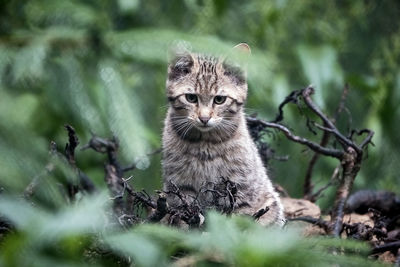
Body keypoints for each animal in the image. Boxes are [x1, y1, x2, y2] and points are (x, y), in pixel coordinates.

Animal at [161, 43, 286, 226]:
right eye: (191, 98)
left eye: (219, 99)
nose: (204, 118)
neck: (205, 144)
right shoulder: (180, 189)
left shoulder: (241, 191)